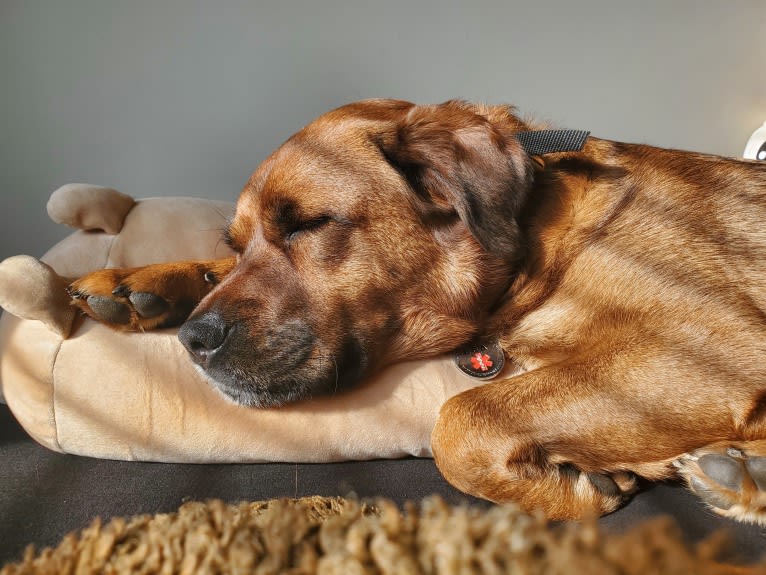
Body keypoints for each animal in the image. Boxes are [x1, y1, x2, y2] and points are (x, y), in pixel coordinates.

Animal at [69, 100, 766, 528]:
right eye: (236, 244)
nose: (192, 340)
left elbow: (459, 420)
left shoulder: (711, 344)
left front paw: (577, 488)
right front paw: (141, 282)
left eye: (310, 224)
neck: (535, 237)